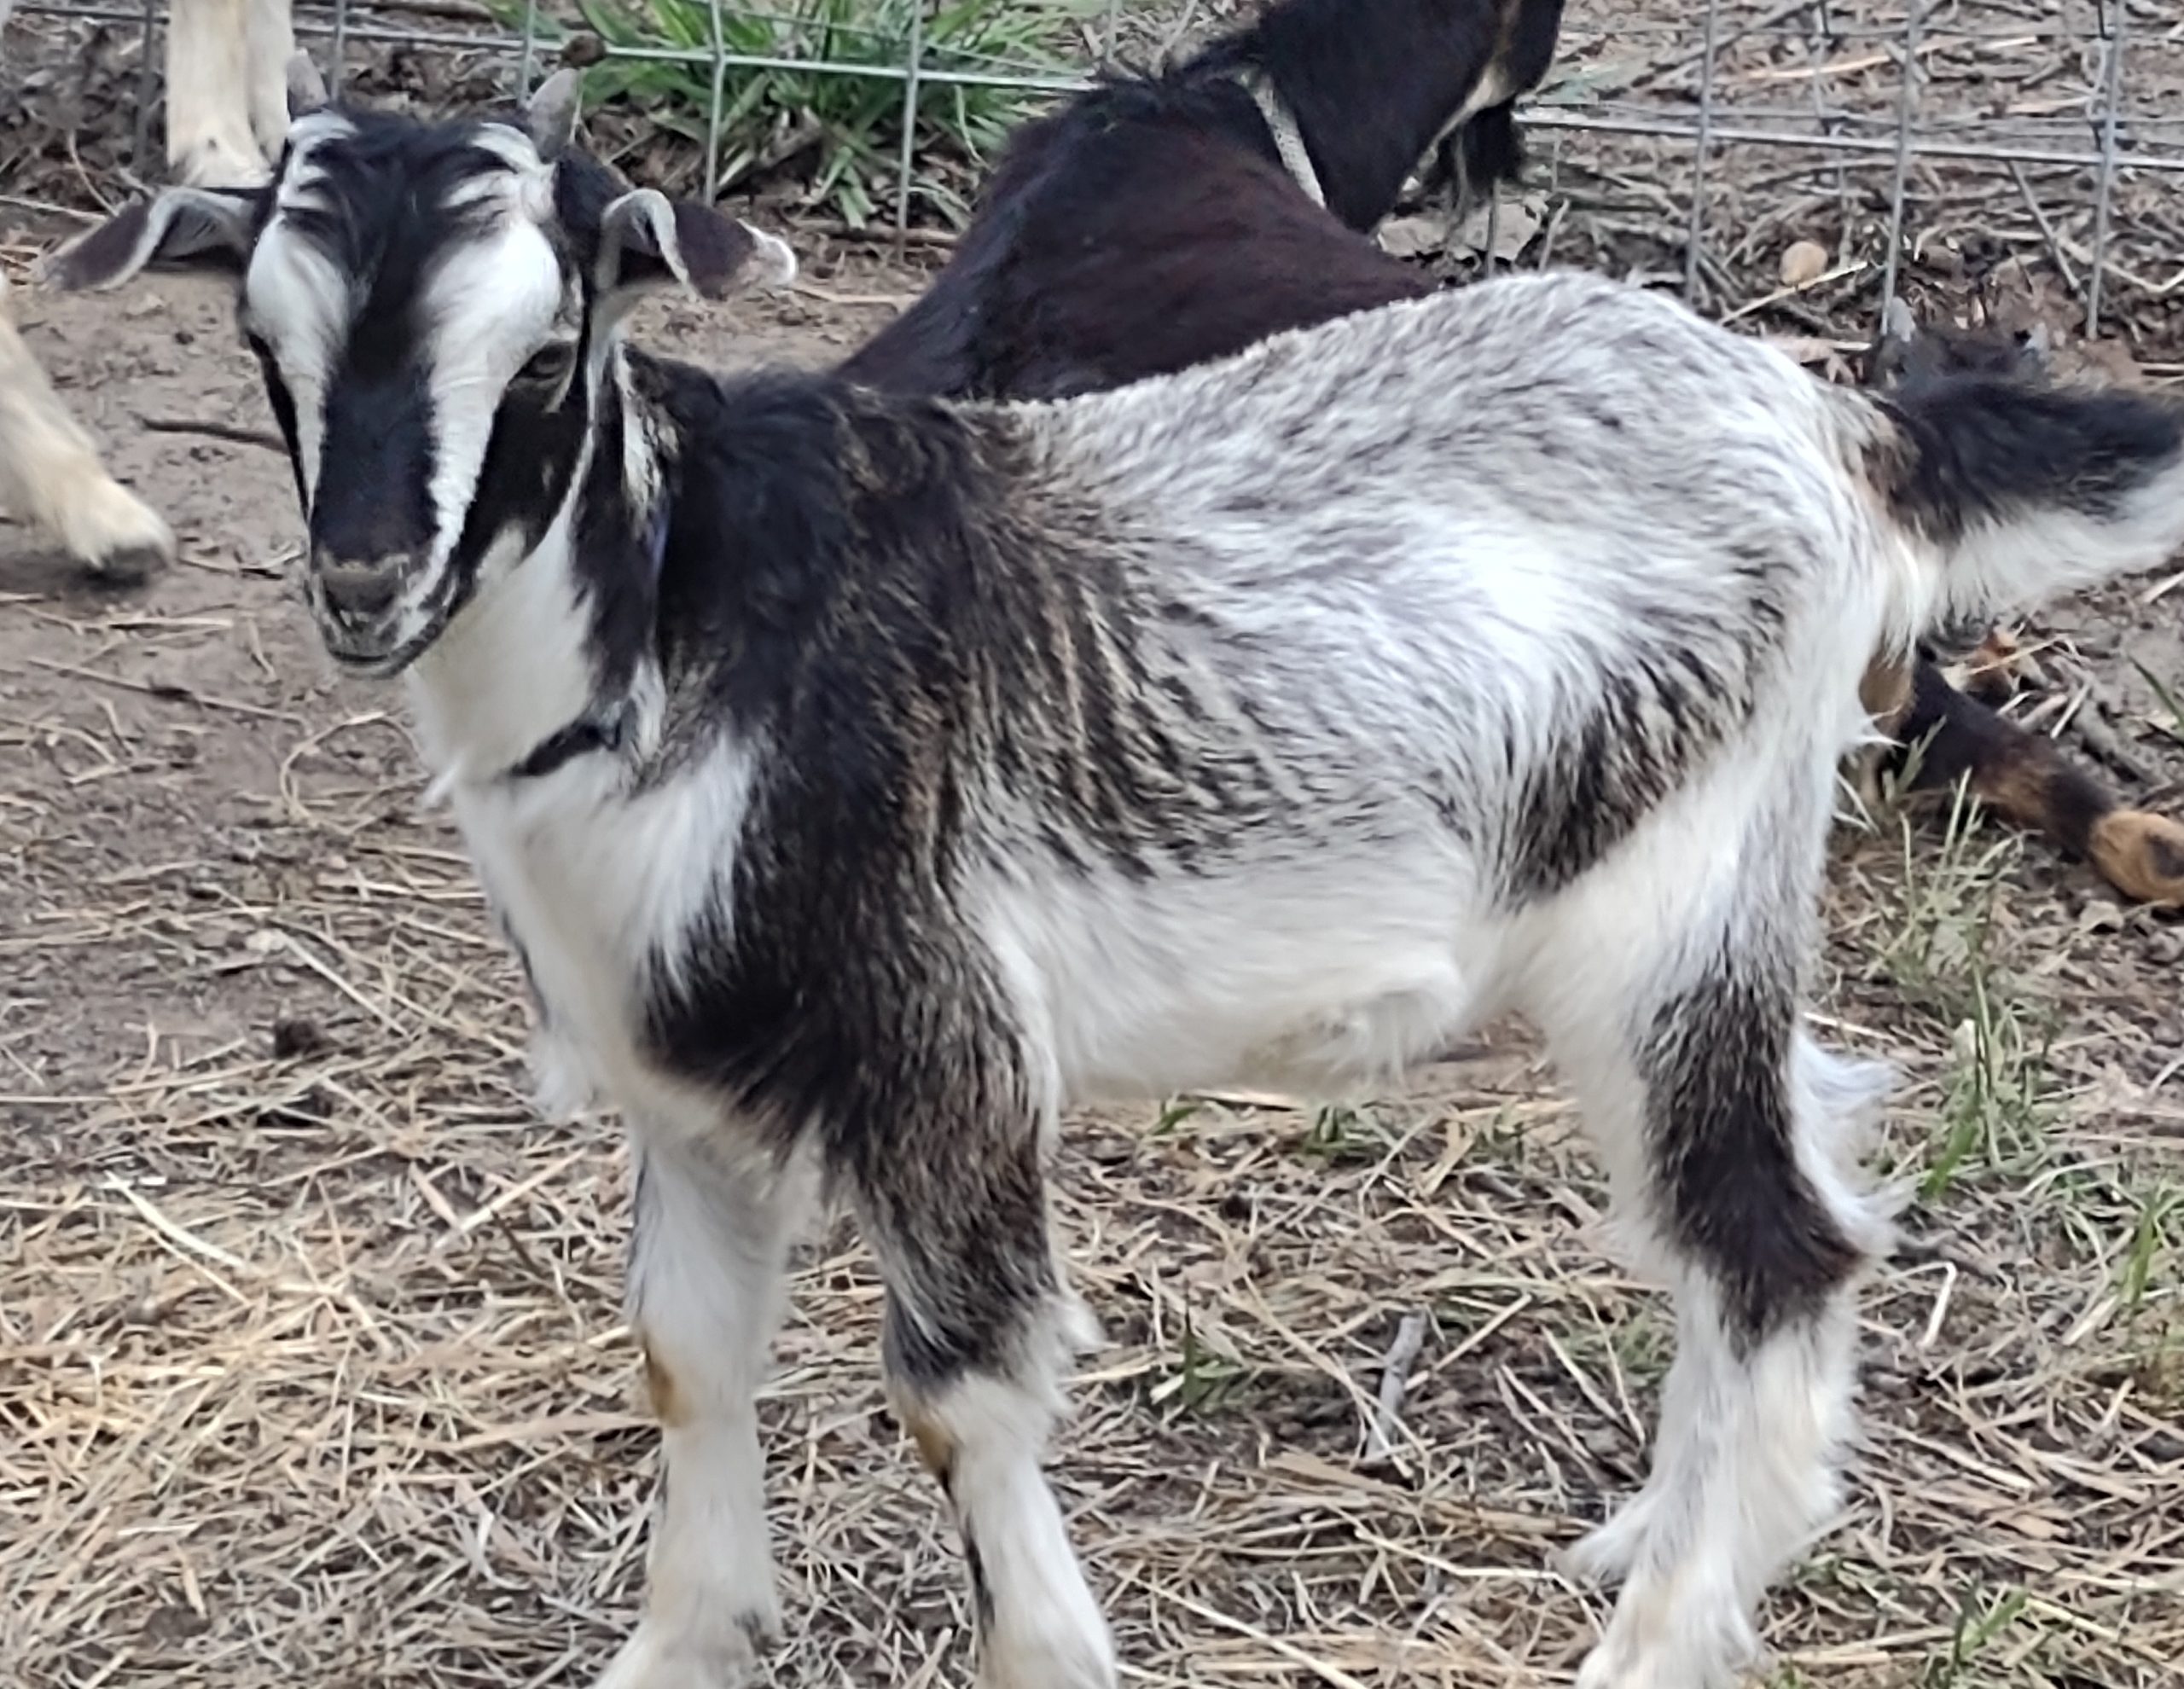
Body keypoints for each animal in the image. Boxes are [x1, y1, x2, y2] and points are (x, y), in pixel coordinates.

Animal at [50, 72, 2184, 1689]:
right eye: (261, 345)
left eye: (548, 354)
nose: (360, 582)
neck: (681, 624)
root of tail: (1828, 416)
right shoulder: (690, 1083)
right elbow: (684, 1361)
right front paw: (679, 1650)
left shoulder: (940, 1048)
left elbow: (957, 1393)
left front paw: (1043, 1652)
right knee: (1785, 1179)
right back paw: (1664, 1534)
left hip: (1670, 902)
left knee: (1770, 1239)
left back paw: (1655, 1642)